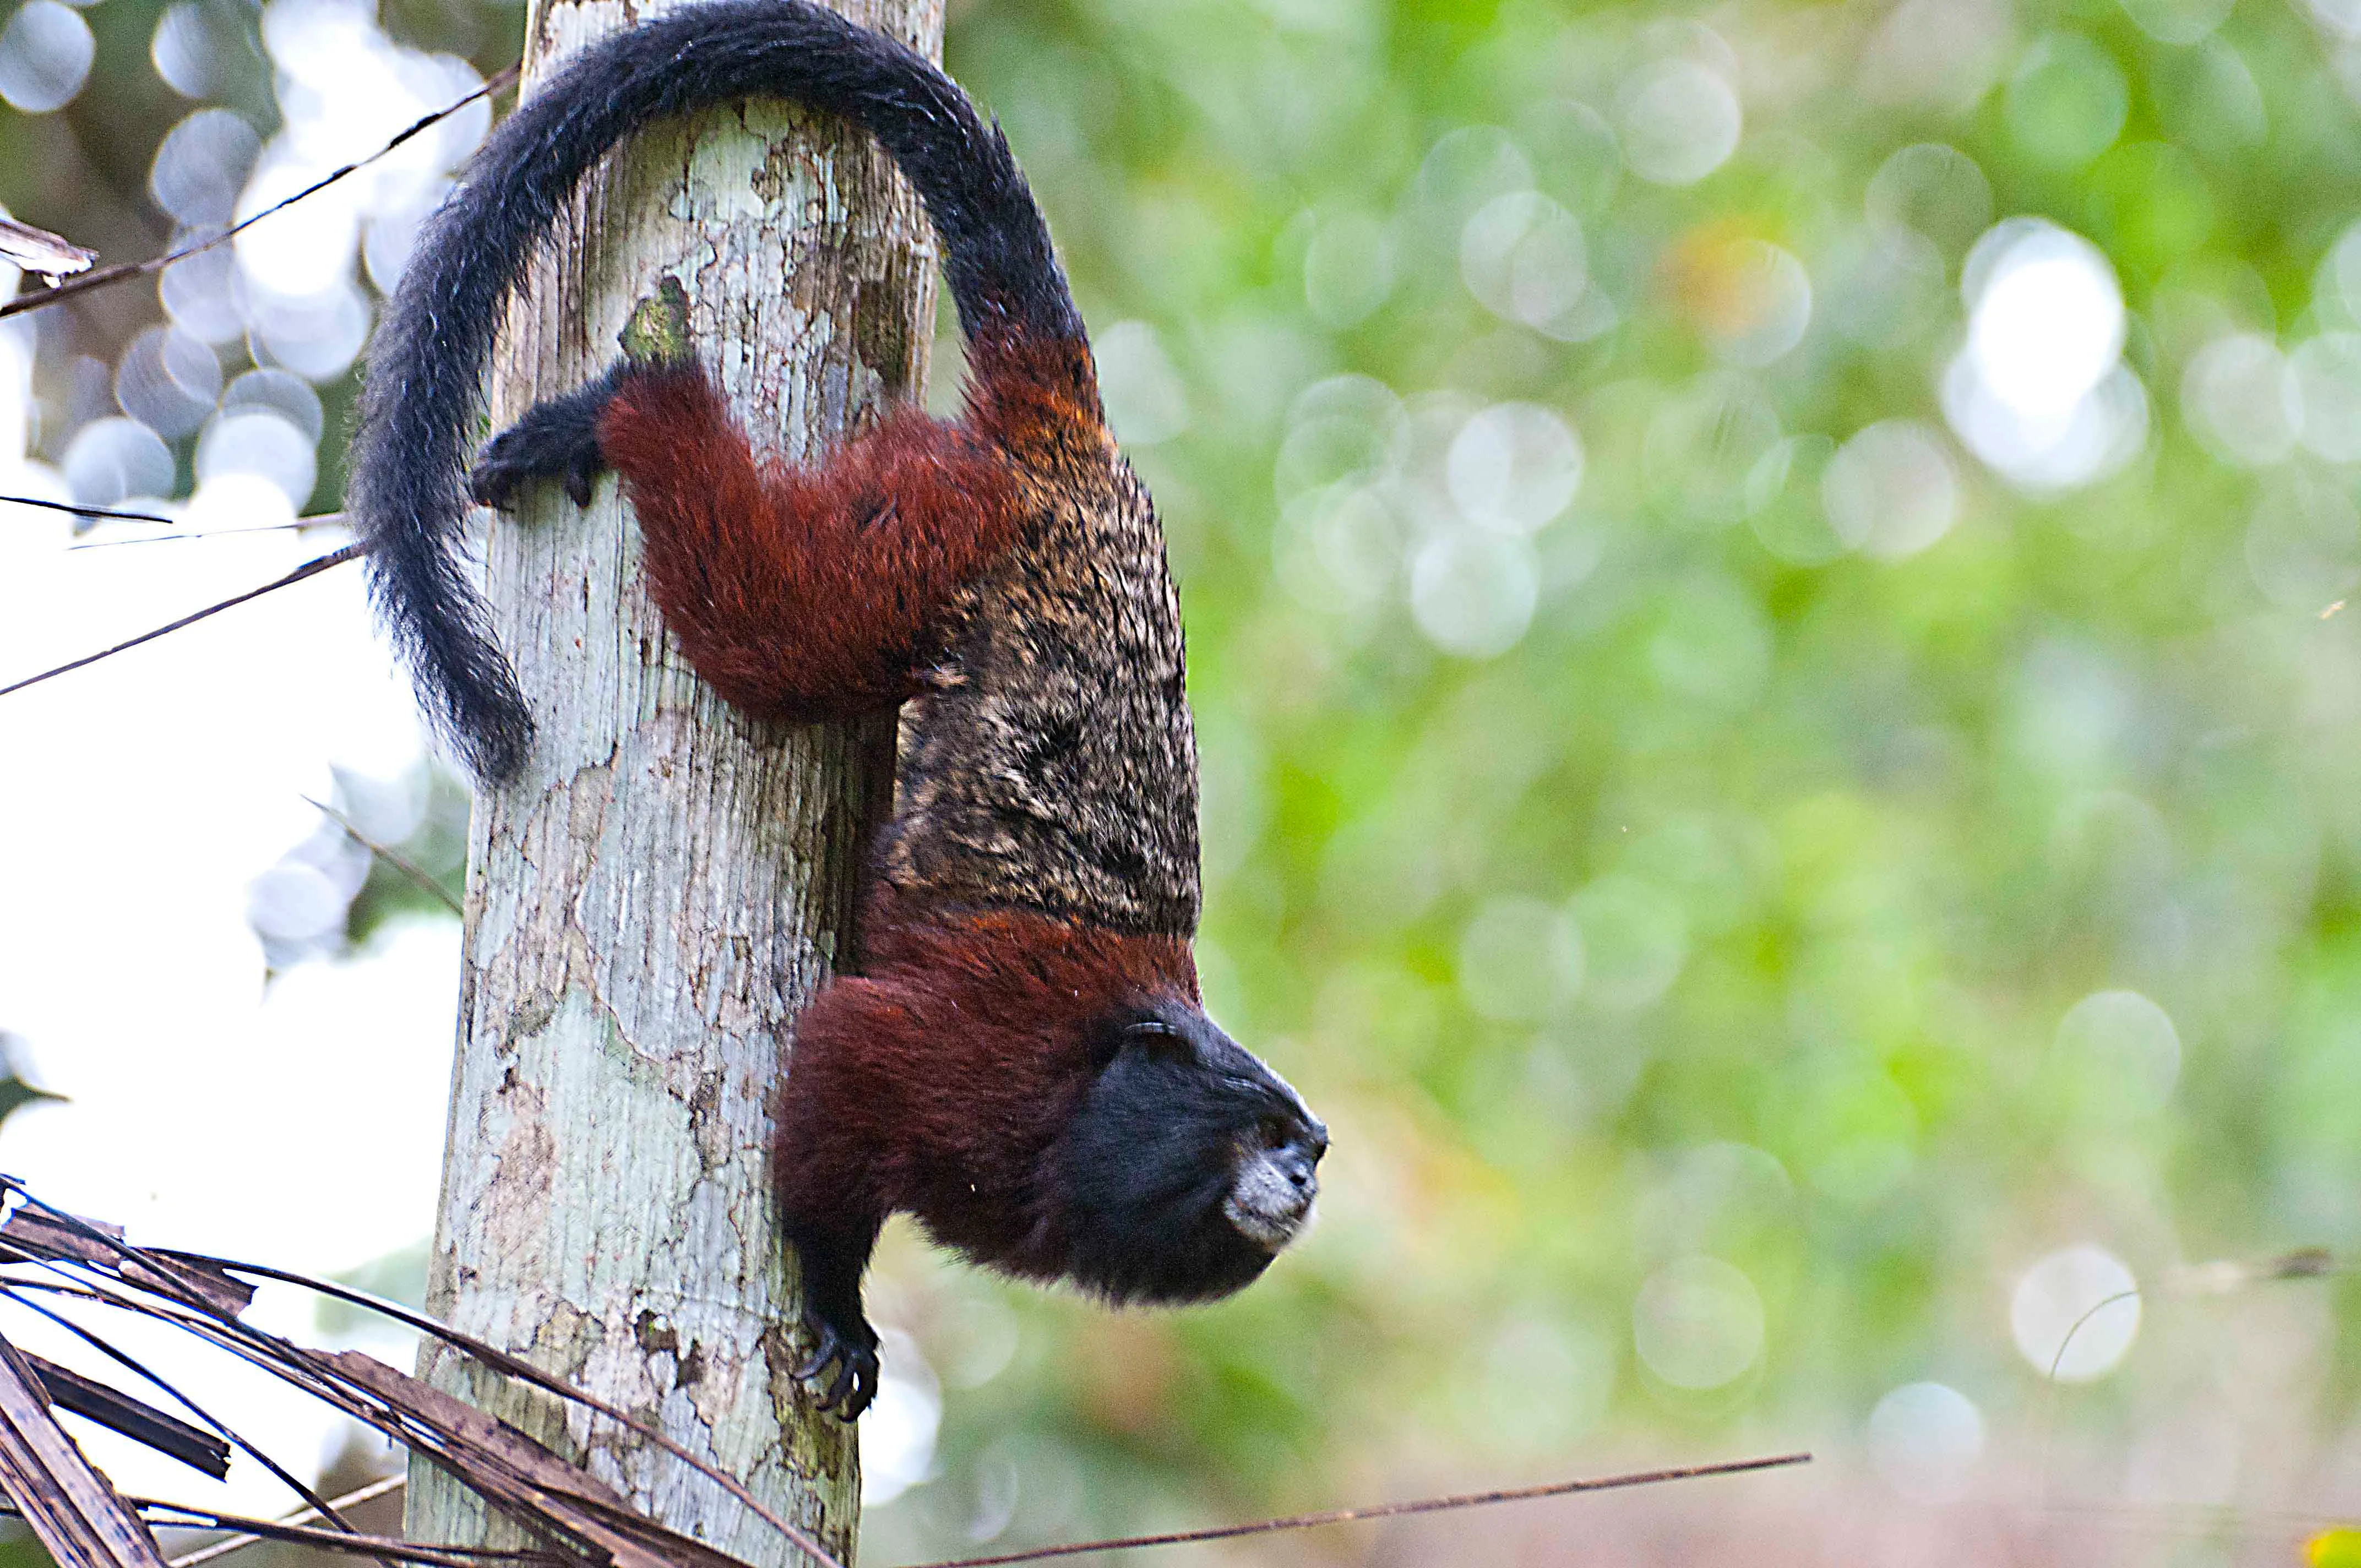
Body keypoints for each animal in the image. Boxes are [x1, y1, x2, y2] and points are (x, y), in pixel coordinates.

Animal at [346, 0, 1328, 1419]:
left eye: (1310, 1145)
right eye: (1266, 1132)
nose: (1301, 1176)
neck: (1092, 1081)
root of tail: (1073, 446)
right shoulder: (980, 1058)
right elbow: (841, 1053)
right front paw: (833, 1296)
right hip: (949, 514)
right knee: (782, 638)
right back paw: (632, 410)